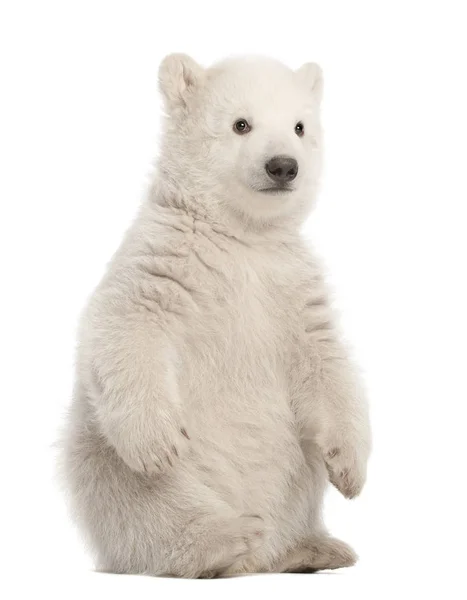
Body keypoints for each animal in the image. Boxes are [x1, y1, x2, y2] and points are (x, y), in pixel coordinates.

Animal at [59, 55, 372, 576]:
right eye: (240, 124)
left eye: (300, 126)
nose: (283, 166)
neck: (240, 235)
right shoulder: (165, 259)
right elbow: (128, 324)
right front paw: (158, 445)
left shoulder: (291, 286)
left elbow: (325, 358)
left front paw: (349, 468)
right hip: (102, 450)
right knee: (141, 502)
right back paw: (228, 539)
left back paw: (314, 549)